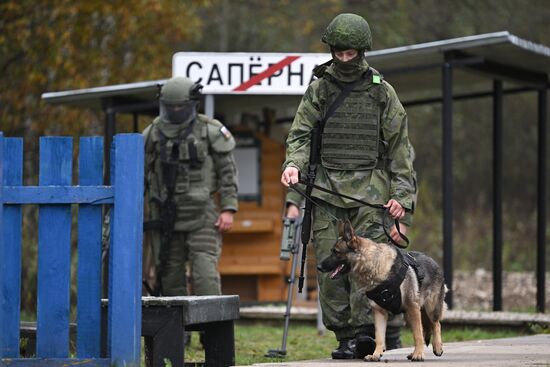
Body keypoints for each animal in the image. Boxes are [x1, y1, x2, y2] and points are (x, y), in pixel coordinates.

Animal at [320, 221, 448, 362]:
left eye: (336, 252)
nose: (319, 267)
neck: (375, 266)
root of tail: (434, 261)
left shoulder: (412, 307)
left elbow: (418, 335)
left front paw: (419, 354)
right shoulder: (379, 312)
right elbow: (379, 336)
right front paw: (376, 354)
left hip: (430, 308)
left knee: (436, 324)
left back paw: (437, 347)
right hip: (412, 313)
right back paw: (413, 352)